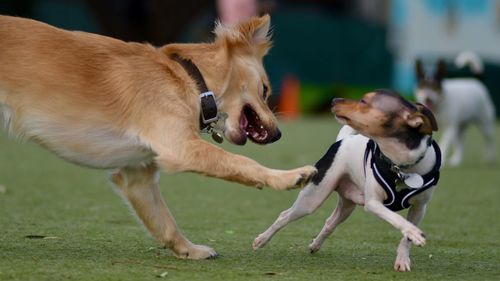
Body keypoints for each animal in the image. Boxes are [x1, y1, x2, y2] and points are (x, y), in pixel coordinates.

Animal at [0, 15, 314, 258]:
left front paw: (189, 250)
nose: (278, 134)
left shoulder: (137, 176)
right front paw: (287, 176)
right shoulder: (182, 147)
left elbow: (163, 221)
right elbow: (244, 164)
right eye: (265, 90)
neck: (189, 77)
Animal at [254, 90, 442, 272]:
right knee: (284, 216)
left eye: (364, 102)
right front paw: (413, 232)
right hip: (312, 199)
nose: (334, 100)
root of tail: (342, 141)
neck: (400, 165)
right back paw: (261, 240)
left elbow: (405, 238)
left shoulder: (419, 208)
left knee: (330, 223)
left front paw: (403, 258)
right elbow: (396, 218)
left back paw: (315, 245)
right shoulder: (373, 203)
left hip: (347, 204)